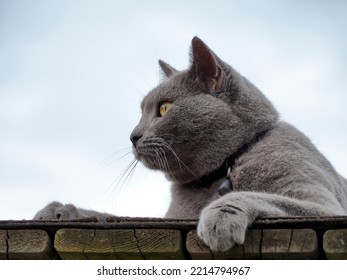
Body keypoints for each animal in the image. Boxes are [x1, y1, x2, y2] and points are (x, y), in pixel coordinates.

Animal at [34, 36, 347, 252]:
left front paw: (218, 217)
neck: (219, 173)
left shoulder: (323, 206)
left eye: (164, 108)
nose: (133, 135)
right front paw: (58, 211)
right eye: (141, 111)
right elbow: (114, 216)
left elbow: (257, 196)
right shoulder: (169, 217)